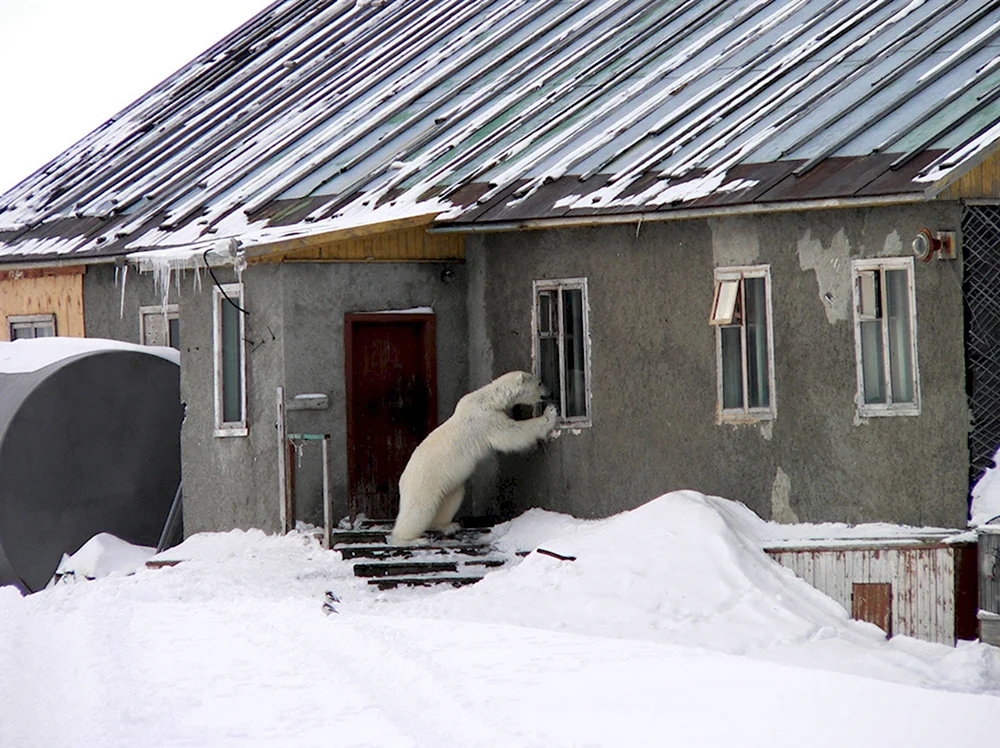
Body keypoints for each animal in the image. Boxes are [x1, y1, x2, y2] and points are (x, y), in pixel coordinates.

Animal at [390, 372, 560, 544]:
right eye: (539, 383)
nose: (551, 393)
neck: (489, 399)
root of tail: (402, 480)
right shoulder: (486, 419)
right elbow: (511, 433)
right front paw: (550, 413)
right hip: (424, 483)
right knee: (418, 510)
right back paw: (410, 539)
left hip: (448, 484)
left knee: (451, 499)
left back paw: (449, 525)